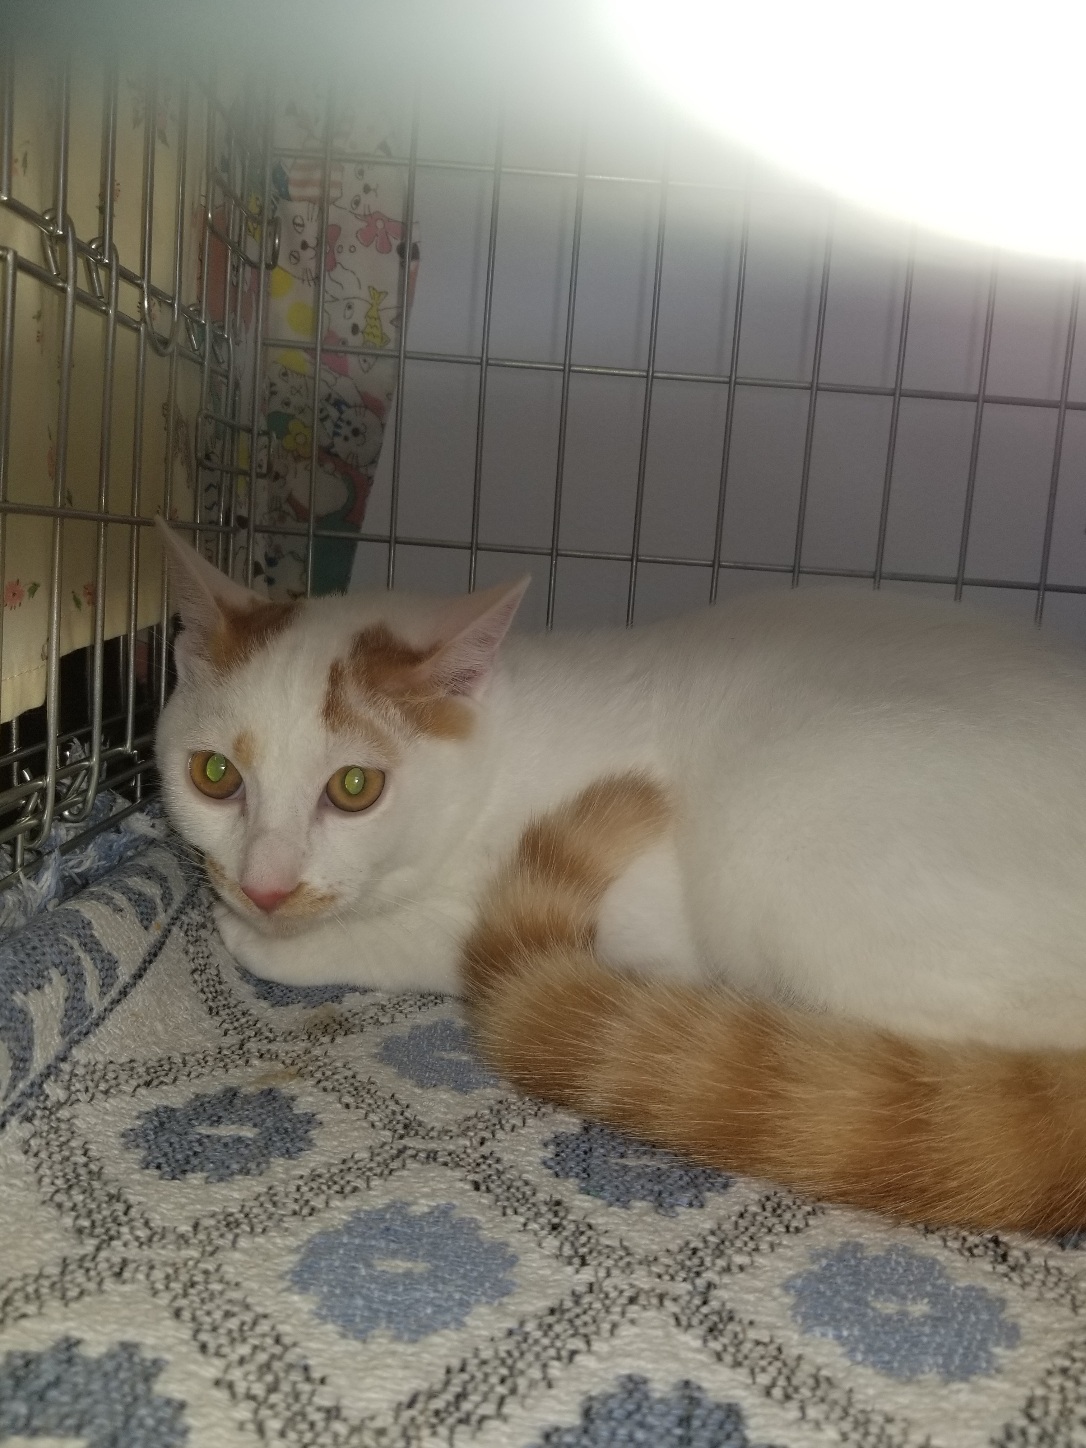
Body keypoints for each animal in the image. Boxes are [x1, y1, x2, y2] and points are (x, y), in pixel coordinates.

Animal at [155, 517, 1086, 1233]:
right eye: (214, 776)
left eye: (355, 788)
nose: (264, 885)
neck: (500, 749)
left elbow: (389, 938)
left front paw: (257, 936)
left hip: (780, 830)